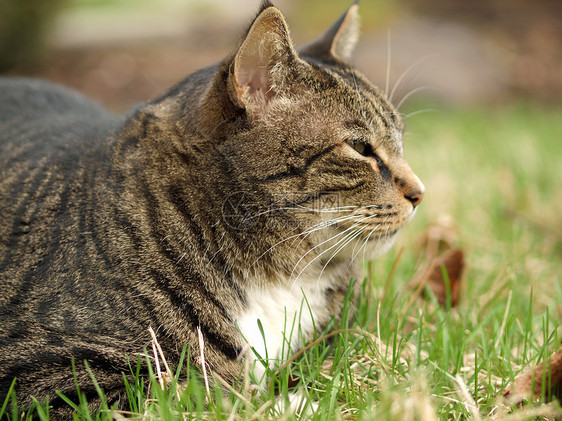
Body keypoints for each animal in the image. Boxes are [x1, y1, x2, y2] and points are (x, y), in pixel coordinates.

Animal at [0, 0, 420, 416]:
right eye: (361, 148)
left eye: (399, 139)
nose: (420, 193)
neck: (277, 274)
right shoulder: (44, 376)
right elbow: (199, 392)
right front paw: (290, 403)